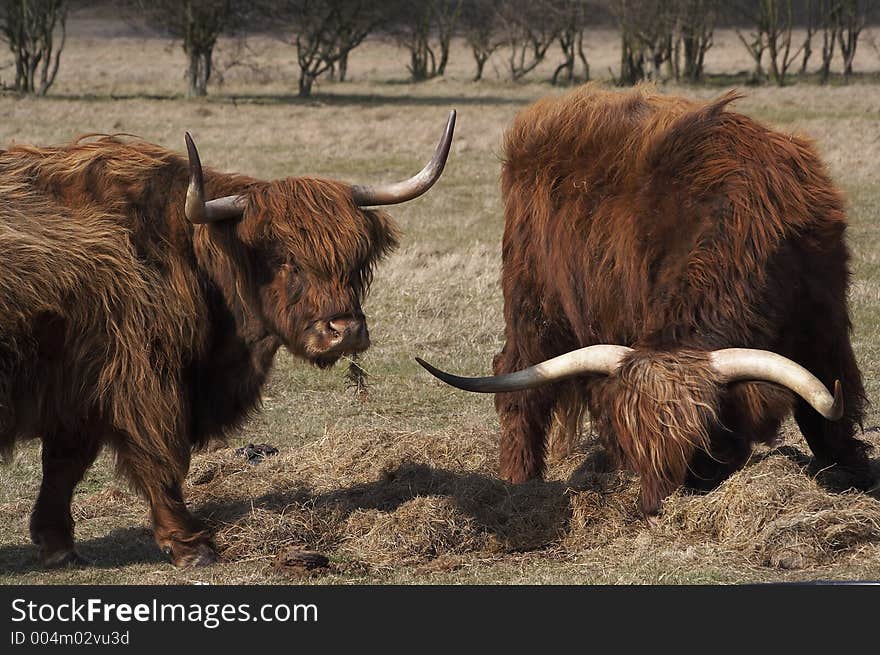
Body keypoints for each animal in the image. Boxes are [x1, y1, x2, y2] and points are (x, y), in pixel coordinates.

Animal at [0, 110, 454, 568]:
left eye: (356, 260)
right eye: (285, 260)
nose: (344, 331)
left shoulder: (78, 391)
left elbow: (63, 466)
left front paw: (58, 544)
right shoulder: (140, 379)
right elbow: (158, 458)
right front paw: (190, 545)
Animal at [420, 86, 872, 516]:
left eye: (703, 447)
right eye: (639, 448)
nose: (654, 509)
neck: (748, 226)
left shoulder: (824, 327)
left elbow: (829, 418)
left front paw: (852, 480)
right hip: (533, 301)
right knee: (519, 382)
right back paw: (519, 481)